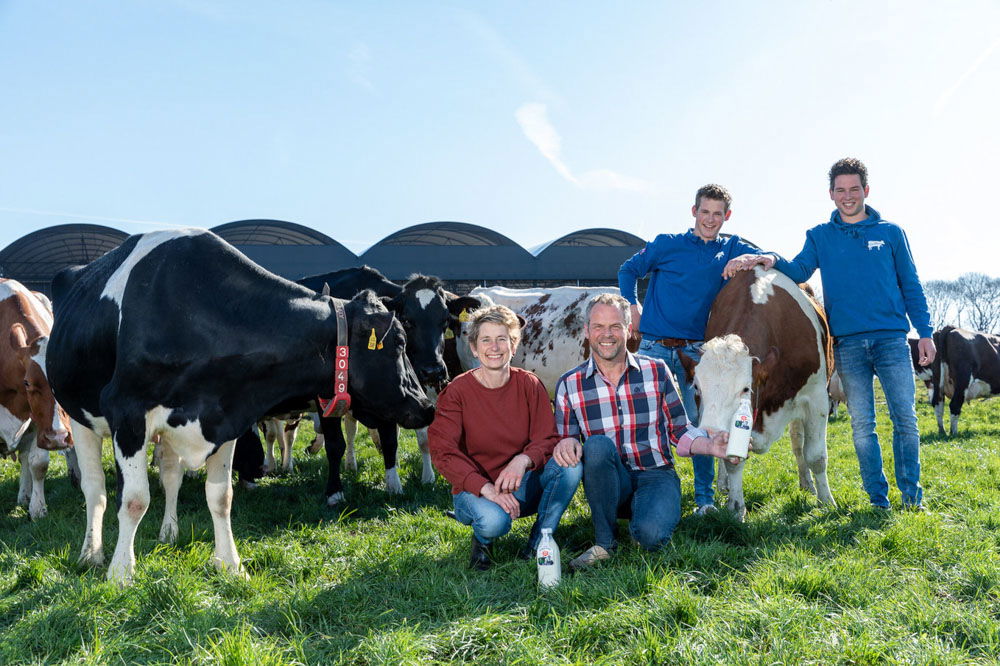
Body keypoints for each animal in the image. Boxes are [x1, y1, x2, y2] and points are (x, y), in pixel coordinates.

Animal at [0, 278, 74, 519]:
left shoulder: (38, 421)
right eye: (27, 383)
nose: (59, 438)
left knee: (24, 457)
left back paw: (24, 495)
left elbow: (38, 463)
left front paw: (37, 507)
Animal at [47, 229, 434, 582]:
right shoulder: (128, 414)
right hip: (81, 416)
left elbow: (221, 497)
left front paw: (230, 565)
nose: (426, 405)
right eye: (399, 341)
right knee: (95, 489)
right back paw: (91, 553)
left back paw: (169, 532)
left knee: (170, 476)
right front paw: (121, 573)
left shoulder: (226, 416)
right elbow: (134, 499)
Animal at [693, 266, 835, 519]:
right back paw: (723, 485)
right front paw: (736, 508)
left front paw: (826, 502)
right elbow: (732, 460)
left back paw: (806, 482)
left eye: (745, 388)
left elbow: (816, 456)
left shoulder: (817, 399)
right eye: (697, 387)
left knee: (797, 442)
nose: (711, 432)